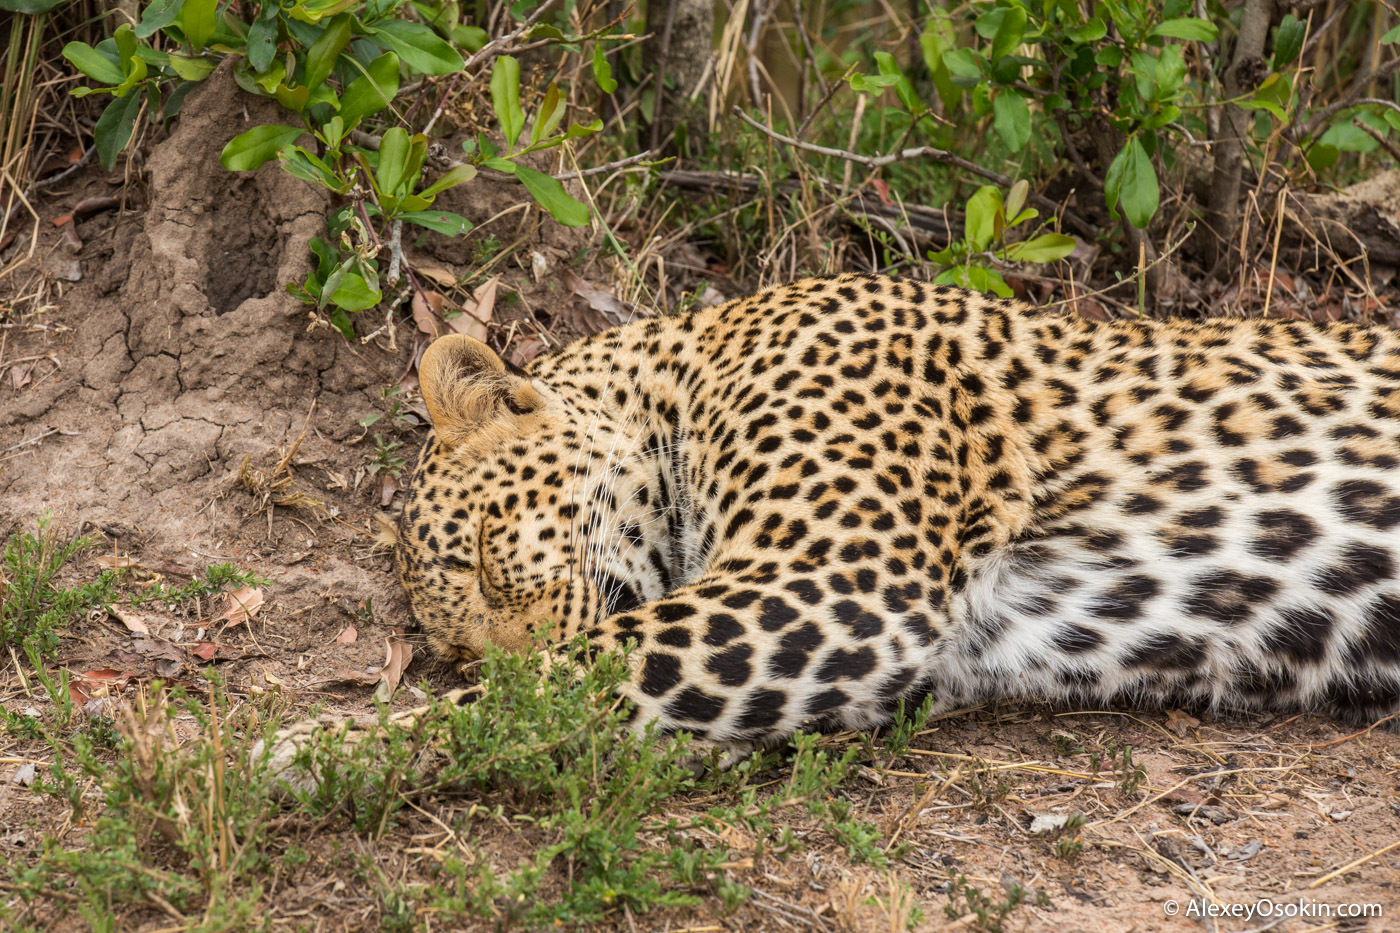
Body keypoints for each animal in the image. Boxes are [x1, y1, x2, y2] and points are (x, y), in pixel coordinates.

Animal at [389, 270, 1400, 750]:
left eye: (481, 551)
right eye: (453, 646)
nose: (485, 649)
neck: (684, 374)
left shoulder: (834, 582)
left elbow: (532, 693)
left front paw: (346, 751)